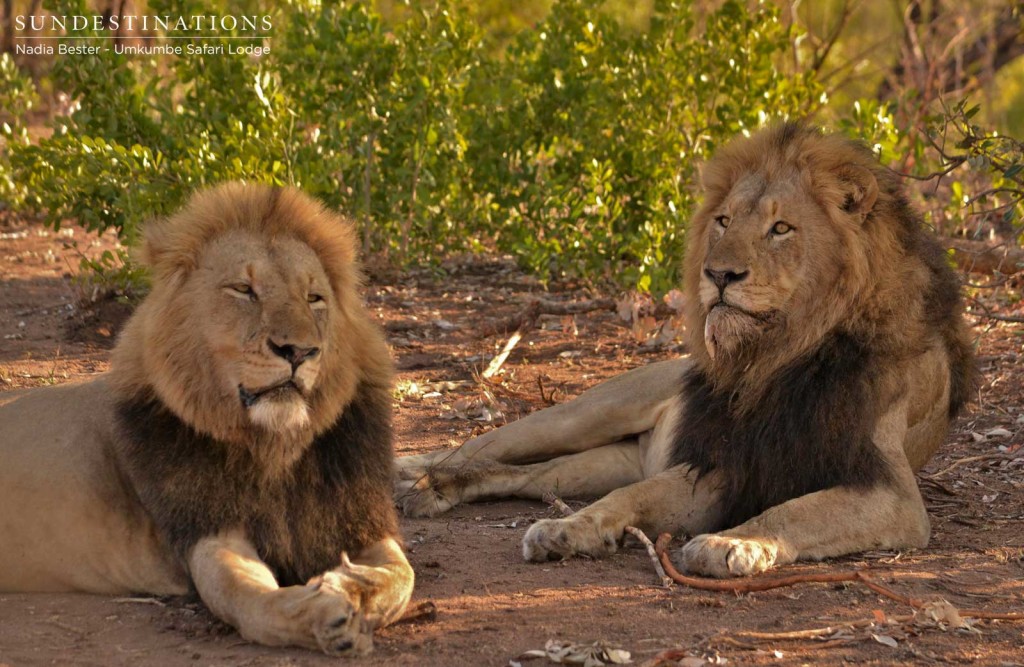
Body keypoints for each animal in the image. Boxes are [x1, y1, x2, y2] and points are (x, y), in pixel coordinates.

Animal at [2, 184, 415, 655]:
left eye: (314, 298)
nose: (299, 351)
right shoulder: (209, 531)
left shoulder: (360, 520)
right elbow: (247, 597)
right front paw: (322, 612)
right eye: (243, 289)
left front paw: (349, 586)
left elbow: (400, 579)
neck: (276, 449)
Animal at [397, 123, 974, 577]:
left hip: (611, 459)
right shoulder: (720, 463)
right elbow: (631, 499)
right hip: (583, 414)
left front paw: (732, 542)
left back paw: (436, 490)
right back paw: (411, 472)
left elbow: (794, 511)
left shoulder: (889, 492)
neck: (776, 356)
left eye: (781, 228)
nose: (718, 274)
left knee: (526, 477)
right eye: (723, 221)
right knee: (483, 447)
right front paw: (570, 529)